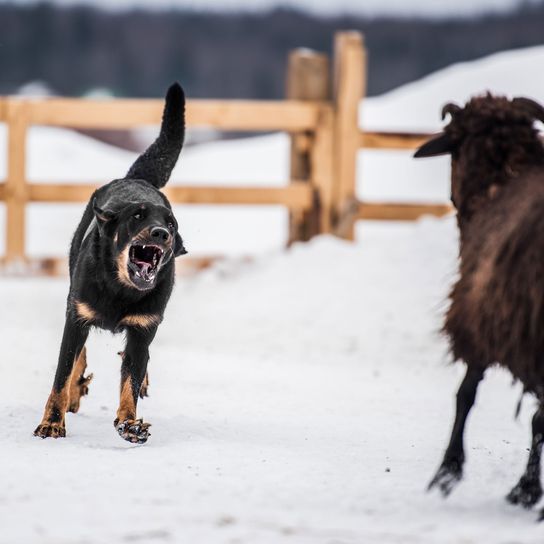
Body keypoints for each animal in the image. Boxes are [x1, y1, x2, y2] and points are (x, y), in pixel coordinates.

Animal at [34, 83, 187, 444]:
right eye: (137, 216)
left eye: (171, 224)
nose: (162, 234)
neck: (120, 289)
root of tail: (138, 180)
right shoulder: (77, 314)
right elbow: (62, 374)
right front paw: (52, 423)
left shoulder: (144, 327)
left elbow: (131, 379)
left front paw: (129, 424)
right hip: (75, 300)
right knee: (77, 356)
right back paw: (75, 391)